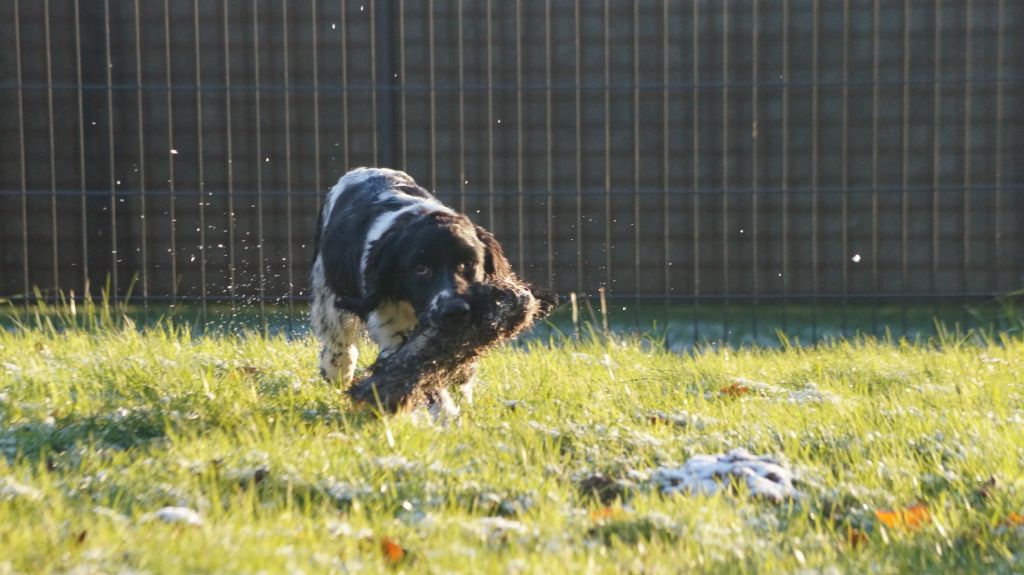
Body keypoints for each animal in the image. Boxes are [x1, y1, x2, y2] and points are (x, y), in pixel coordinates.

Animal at [305, 165, 509, 411]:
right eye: (420, 269)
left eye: (468, 263)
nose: (455, 311)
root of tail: (365, 169)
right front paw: (447, 414)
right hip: (326, 290)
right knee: (339, 344)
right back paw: (338, 369)